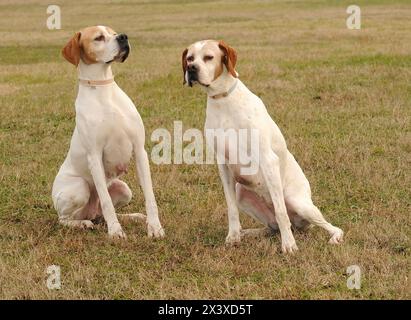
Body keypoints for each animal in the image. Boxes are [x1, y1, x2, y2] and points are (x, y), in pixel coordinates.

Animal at [52, 26, 165, 239]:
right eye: (98, 38)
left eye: (113, 33)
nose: (123, 37)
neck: (103, 87)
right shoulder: (94, 157)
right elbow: (106, 202)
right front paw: (115, 232)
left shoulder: (139, 150)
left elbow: (150, 196)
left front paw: (155, 227)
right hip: (78, 189)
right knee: (65, 219)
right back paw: (83, 223)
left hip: (124, 189)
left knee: (101, 213)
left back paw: (133, 217)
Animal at [183, 40, 344, 252]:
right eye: (189, 58)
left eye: (208, 57)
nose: (191, 69)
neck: (223, 99)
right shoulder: (223, 165)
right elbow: (231, 209)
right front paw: (233, 237)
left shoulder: (268, 160)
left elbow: (281, 213)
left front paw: (289, 246)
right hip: (241, 193)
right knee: (272, 227)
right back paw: (248, 233)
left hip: (299, 203)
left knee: (324, 225)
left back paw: (331, 236)